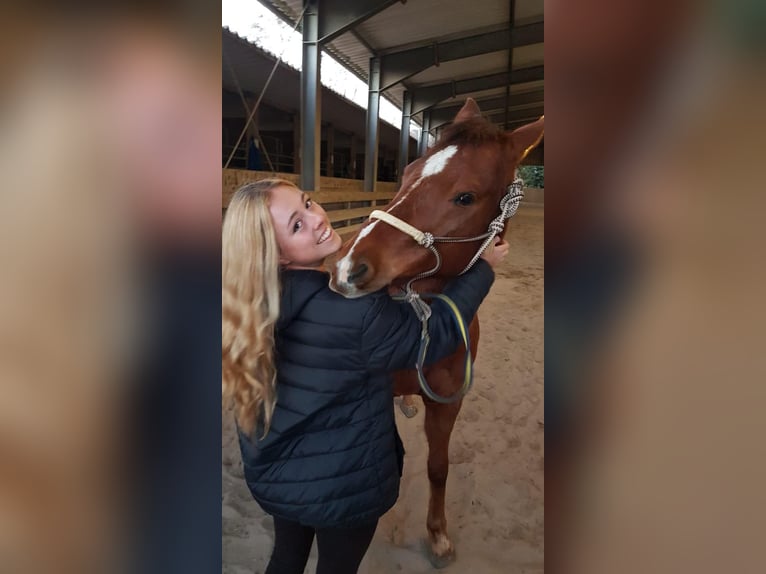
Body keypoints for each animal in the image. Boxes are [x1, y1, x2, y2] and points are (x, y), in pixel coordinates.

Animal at [327, 97, 543, 566]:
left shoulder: (448, 402)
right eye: (408, 172)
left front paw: (438, 535)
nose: (348, 267)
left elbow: (438, 468)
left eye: (465, 196)